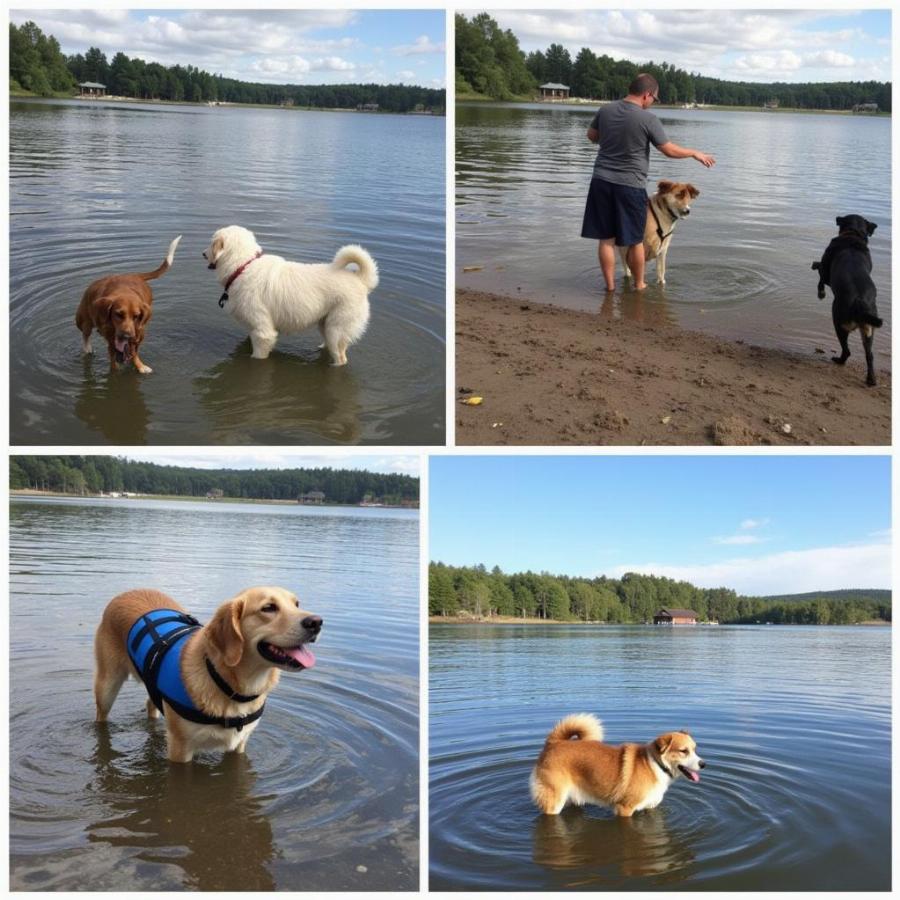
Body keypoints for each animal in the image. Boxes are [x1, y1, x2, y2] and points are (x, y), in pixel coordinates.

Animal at [75, 236, 181, 372]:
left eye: (136, 316)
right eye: (118, 314)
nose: (126, 336)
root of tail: (135, 275)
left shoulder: (138, 335)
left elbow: (134, 352)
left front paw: (140, 366)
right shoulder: (112, 339)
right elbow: (113, 358)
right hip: (83, 320)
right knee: (85, 334)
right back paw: (87, 348)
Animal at [91, 588, 322, 764]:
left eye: (296, 604)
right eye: (268, 608)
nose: (316, 622)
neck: (228, 685)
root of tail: (126, 593)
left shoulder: (239, 744)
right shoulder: (180, 750)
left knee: (151, 703)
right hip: (107, 686)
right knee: (101, 715)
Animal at [205, 225, 380, 366]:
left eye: (211, 243)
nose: (203, 254)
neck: (243, 266)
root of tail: (360, 280)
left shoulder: (263, 333)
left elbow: (257, 356)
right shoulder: (254, 329)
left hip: (336, 330)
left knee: (341, 358)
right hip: (325, 325)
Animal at [532, 712, 708, 820]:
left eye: (694, 749)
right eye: (684, 751)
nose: (703, 764)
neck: (656, 765)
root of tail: (554, 742)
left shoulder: (649, 808)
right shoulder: (624, 809)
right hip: (553, 802)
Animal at [812, 219, 884, 390]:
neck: (853, 235)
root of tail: (860, 303)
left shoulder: (826, 272)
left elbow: (820, 275)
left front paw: (820, 290)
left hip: (838, 322)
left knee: (847, 350)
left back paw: (839, 360)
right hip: (869, 330)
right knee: (869, 355)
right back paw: (871, 380)